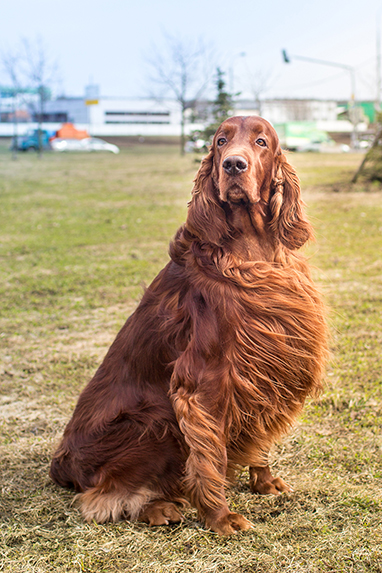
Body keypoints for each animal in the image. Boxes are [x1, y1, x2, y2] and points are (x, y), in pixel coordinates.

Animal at [49, 117, 326, 536]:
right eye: (221, 140)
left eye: (261, 142)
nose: (233, 165)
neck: (252, 250)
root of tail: (61, 462)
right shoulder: (204, 382)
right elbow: (208, 455)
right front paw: (219, 516)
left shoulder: (266, 367)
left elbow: (258, 428)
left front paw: (262, 481)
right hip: (153, 421)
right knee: (101, 498)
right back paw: (159, 507)